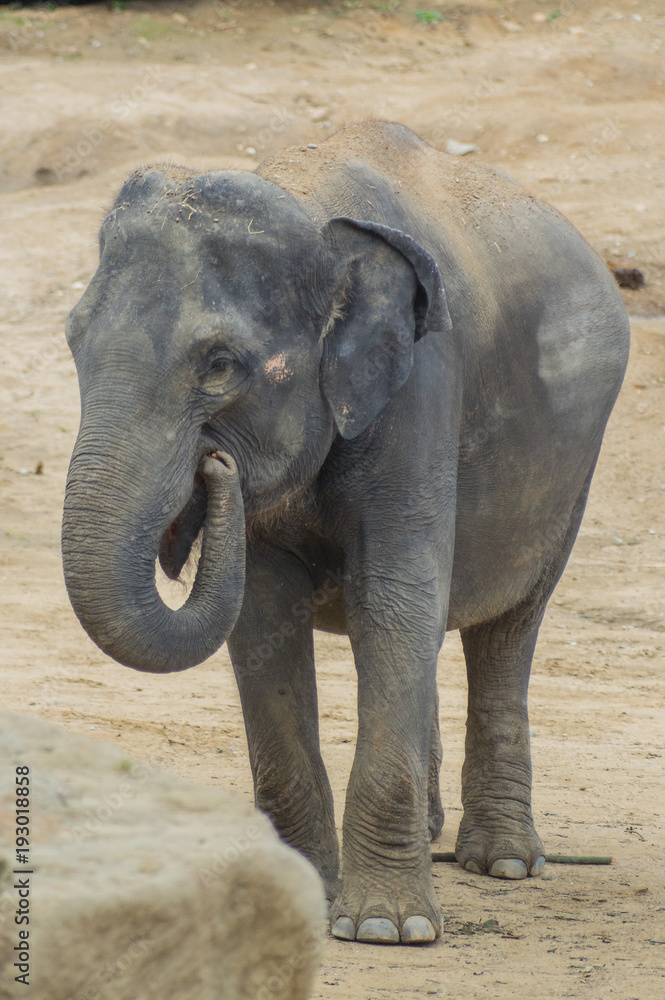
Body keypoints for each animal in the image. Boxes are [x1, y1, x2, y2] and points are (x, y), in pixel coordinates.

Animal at [62, 122, 629, 945]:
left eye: (220, 364)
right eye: (73, 340)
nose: (214, 467)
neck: (311, 210)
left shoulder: (423, 382)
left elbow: (391, 600)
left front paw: (389, 930)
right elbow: (265, 617)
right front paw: (304, 893)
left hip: (569, 475)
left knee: (506, 628)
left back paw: (503, 862)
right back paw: (435, 832)